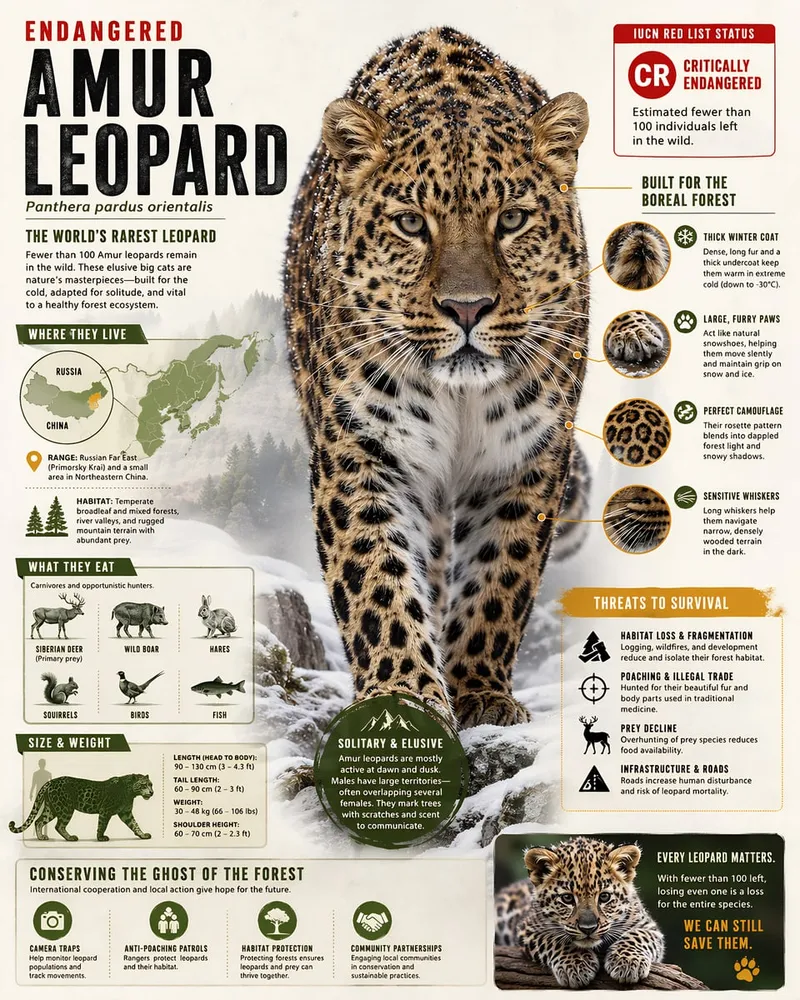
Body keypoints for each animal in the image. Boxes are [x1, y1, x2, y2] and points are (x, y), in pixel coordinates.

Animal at [9, 773, 154, 842]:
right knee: (59, 825)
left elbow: (134, 824)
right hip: (65, 808)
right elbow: (102, 825)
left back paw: (41, 838)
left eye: (151, 784)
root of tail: (50, 782)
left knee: (39, 821)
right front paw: (101, 838)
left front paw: (142, 835)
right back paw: (70, 838)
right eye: (144, 785)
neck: (130, 793)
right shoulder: (105, 811)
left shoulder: (126, 813)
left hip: (51, 809)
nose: (152, 792)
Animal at [284, 26, 591, 729]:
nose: (467, 307)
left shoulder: (526, 457)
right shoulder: (360, 451)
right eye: (410, 224)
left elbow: (500, 577)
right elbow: (377, 578)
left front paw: (480, 693)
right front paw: (404, 695)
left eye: (512, 220)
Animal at [494, 836, 665, 988]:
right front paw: (576, 965)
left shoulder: (648, 925)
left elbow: (638, 935)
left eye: (604, 897)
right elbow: (555, 940)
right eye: (567, 898)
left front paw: (627, 962)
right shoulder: (528, 928)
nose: (588, 928)